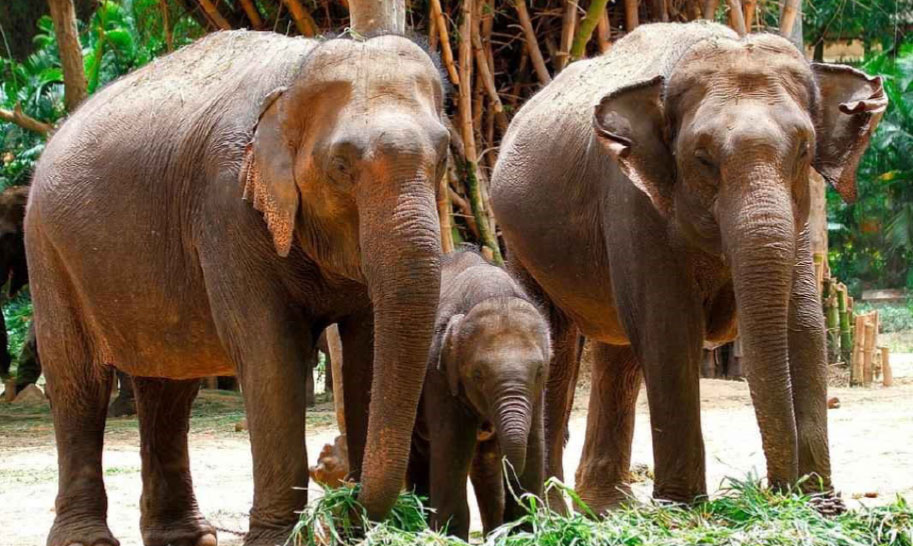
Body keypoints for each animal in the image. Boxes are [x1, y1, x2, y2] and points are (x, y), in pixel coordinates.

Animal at [27, 30, 447, 546]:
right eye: (341, 166)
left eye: (444, 155)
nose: (349, 507)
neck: (294, 79)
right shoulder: (226, 208)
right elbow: (270, 353)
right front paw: (281, 538)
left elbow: (367, 350)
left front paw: (365, 529)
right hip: (48, 251)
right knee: (78, 381)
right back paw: (87, 540)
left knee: (168, 387)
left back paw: (187, 537)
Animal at [408, 250, 551, 539]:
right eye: (477, 375)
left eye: (540, 371)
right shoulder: (438, 377)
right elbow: (452, 449)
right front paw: (449, 536)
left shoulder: (537, 395)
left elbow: (533, 444)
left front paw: (522, 531)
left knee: (485, 464)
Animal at [491, 22, 885, 514]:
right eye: (703, 157)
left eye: (803, 150)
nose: (775, 490)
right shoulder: (632, 199)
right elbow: (670, 329)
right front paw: (683, 510)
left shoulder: (798, 220)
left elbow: (804, 327)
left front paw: (819, 507)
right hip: (520, 244)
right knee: (557, 339)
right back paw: (548, 512)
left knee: (619, 352)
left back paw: (606, 509)